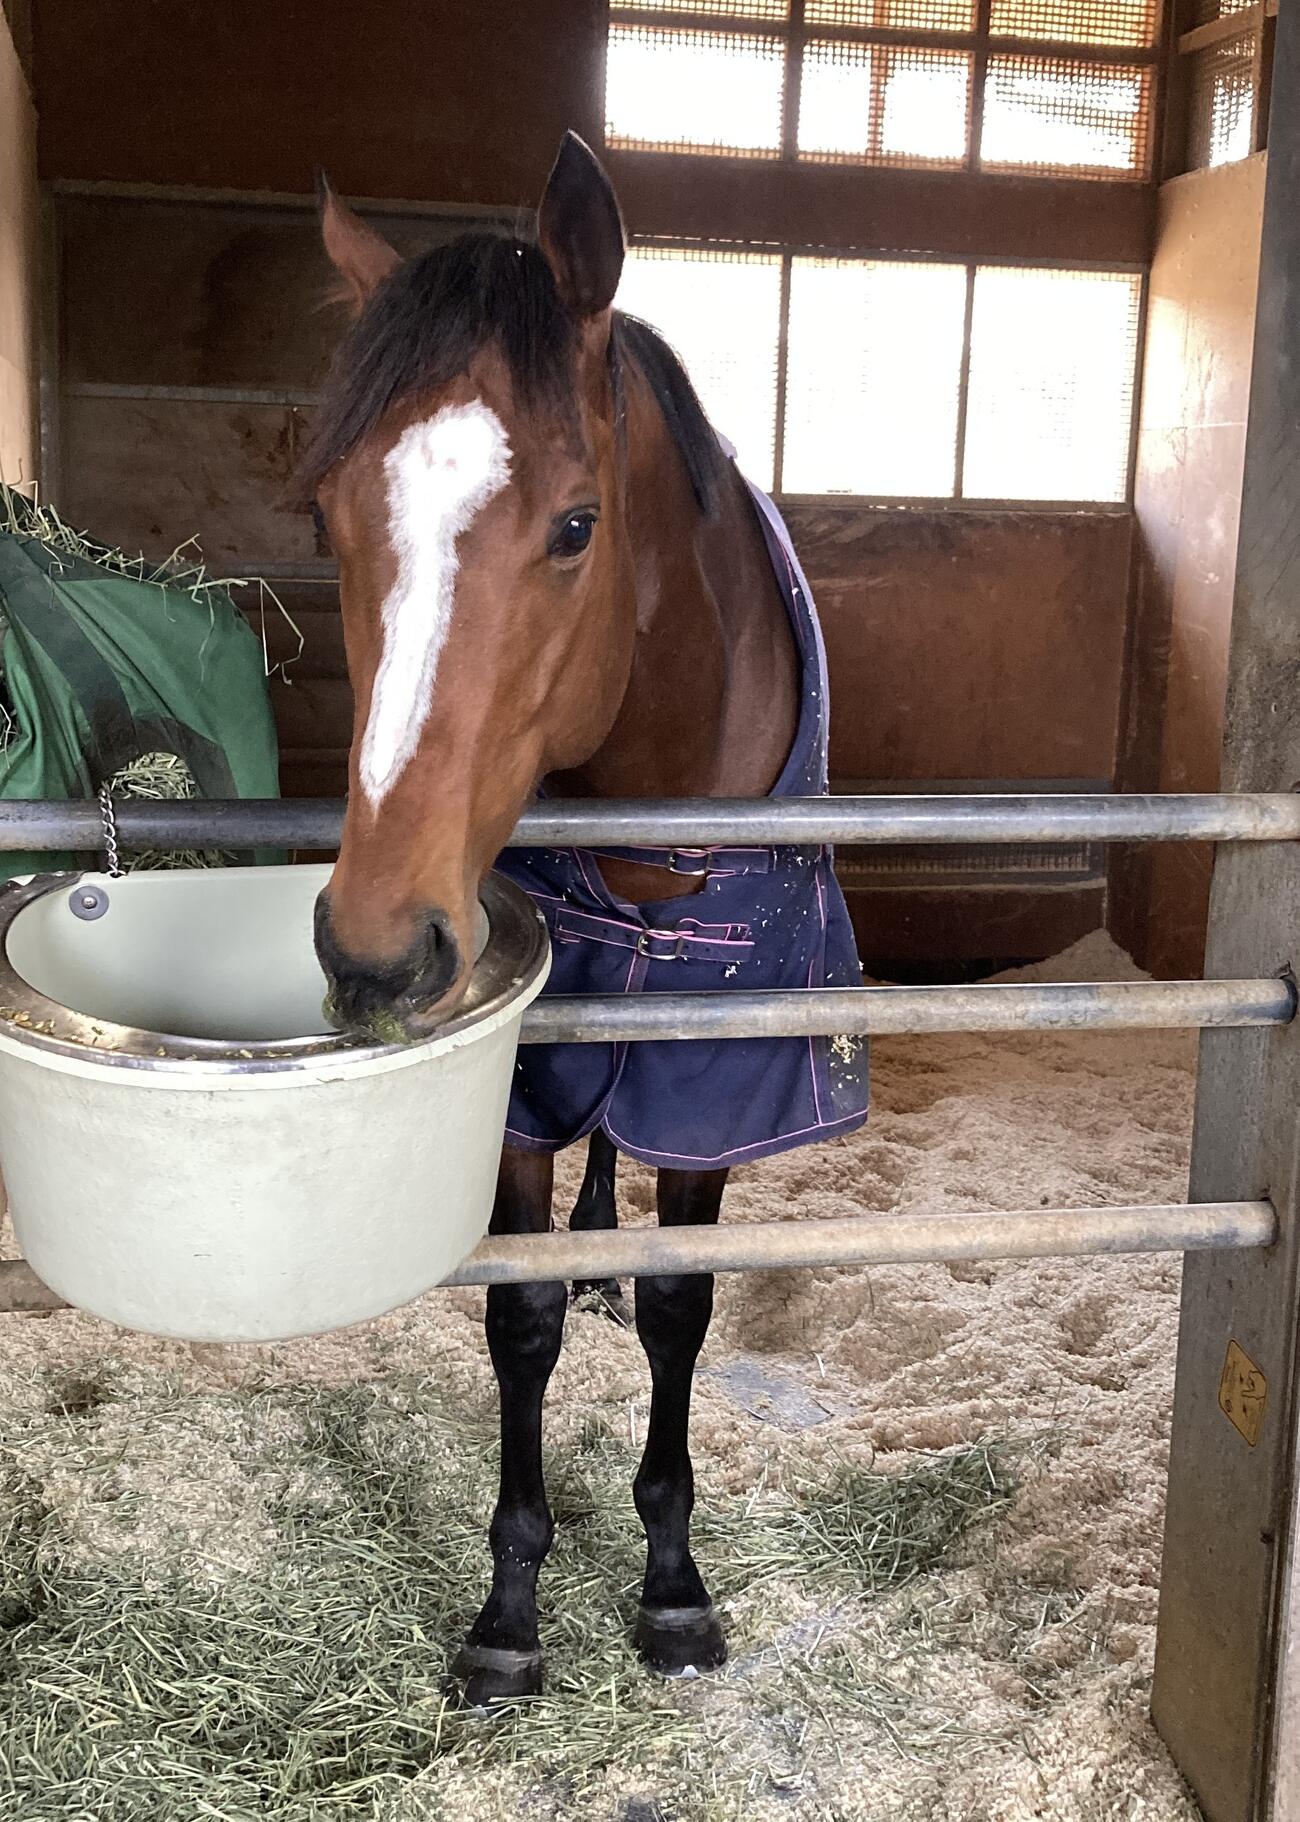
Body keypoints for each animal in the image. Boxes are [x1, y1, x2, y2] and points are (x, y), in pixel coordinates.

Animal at [302, 131, 868, 1703]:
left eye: (574, 525)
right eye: (327, 517)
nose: (379, 950)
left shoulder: (716, 1075)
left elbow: (683, 1305)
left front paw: (671, 1584)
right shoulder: (528, 1069)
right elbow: (523, 1313)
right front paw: (509, 1609)